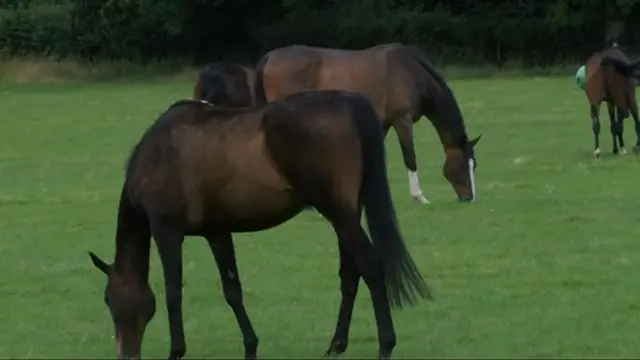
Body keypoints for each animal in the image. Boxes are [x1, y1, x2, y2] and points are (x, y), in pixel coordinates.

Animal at [87, 90, 432, 360]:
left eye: (108, 299)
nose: (126, 354)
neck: (157, 154)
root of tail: (348, 102)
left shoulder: (166, 230)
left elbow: (173, 292)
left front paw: (176, 351)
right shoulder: (217, 232)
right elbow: (232, 290)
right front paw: (251, 346)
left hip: (340, 213)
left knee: (371, 265)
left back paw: (385, 345)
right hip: (346, 214)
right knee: (351, 273)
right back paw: (336, 344)